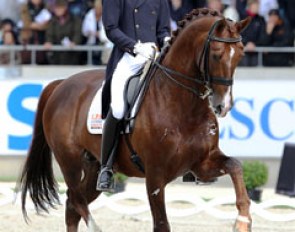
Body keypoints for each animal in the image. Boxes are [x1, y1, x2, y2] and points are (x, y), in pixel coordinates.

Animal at [19, 8, 252, 232]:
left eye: (241, 54)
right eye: (216, 54)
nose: (223, 105)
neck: (183, 106)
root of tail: (61, 84)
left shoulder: (202, 163)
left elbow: (236, 166)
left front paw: (242, 220)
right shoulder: (155, 175)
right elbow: (161, 224)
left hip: (94, 167)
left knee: (72, 207)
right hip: (70, 162)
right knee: (76, 199)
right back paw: (96, 228)